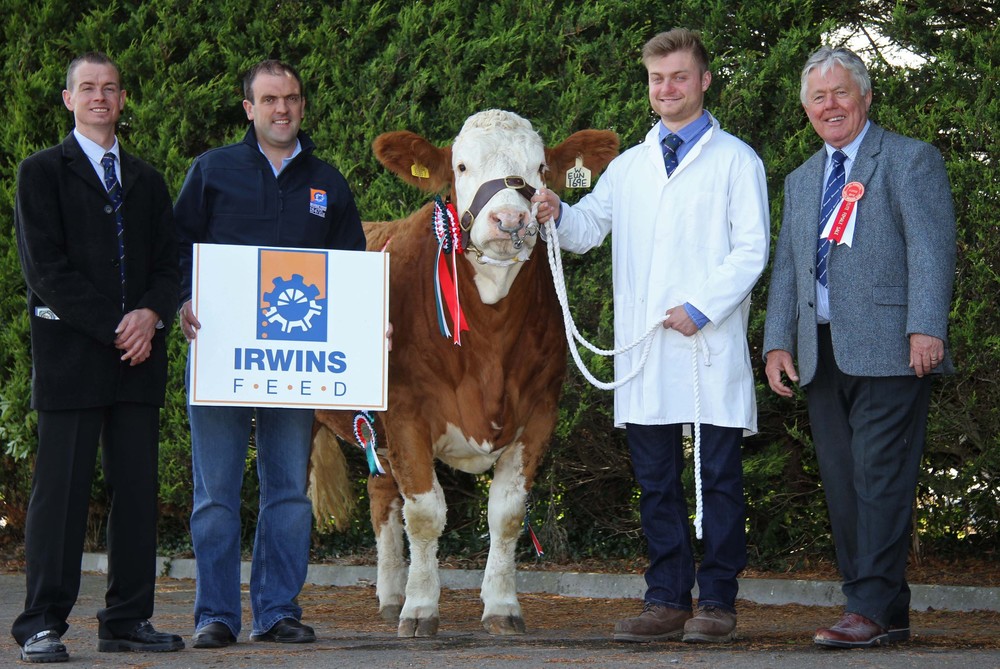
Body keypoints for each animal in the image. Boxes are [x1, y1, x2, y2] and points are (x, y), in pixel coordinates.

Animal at [312, 111, 616, 636]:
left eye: (540, 168)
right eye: (461, 165)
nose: (511, 220)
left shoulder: (538, 413)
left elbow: (507, 514)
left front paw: (501, 606)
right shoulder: (408, 414)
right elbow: (426, 513)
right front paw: (421, 609)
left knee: (380, 493)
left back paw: (390, 594)